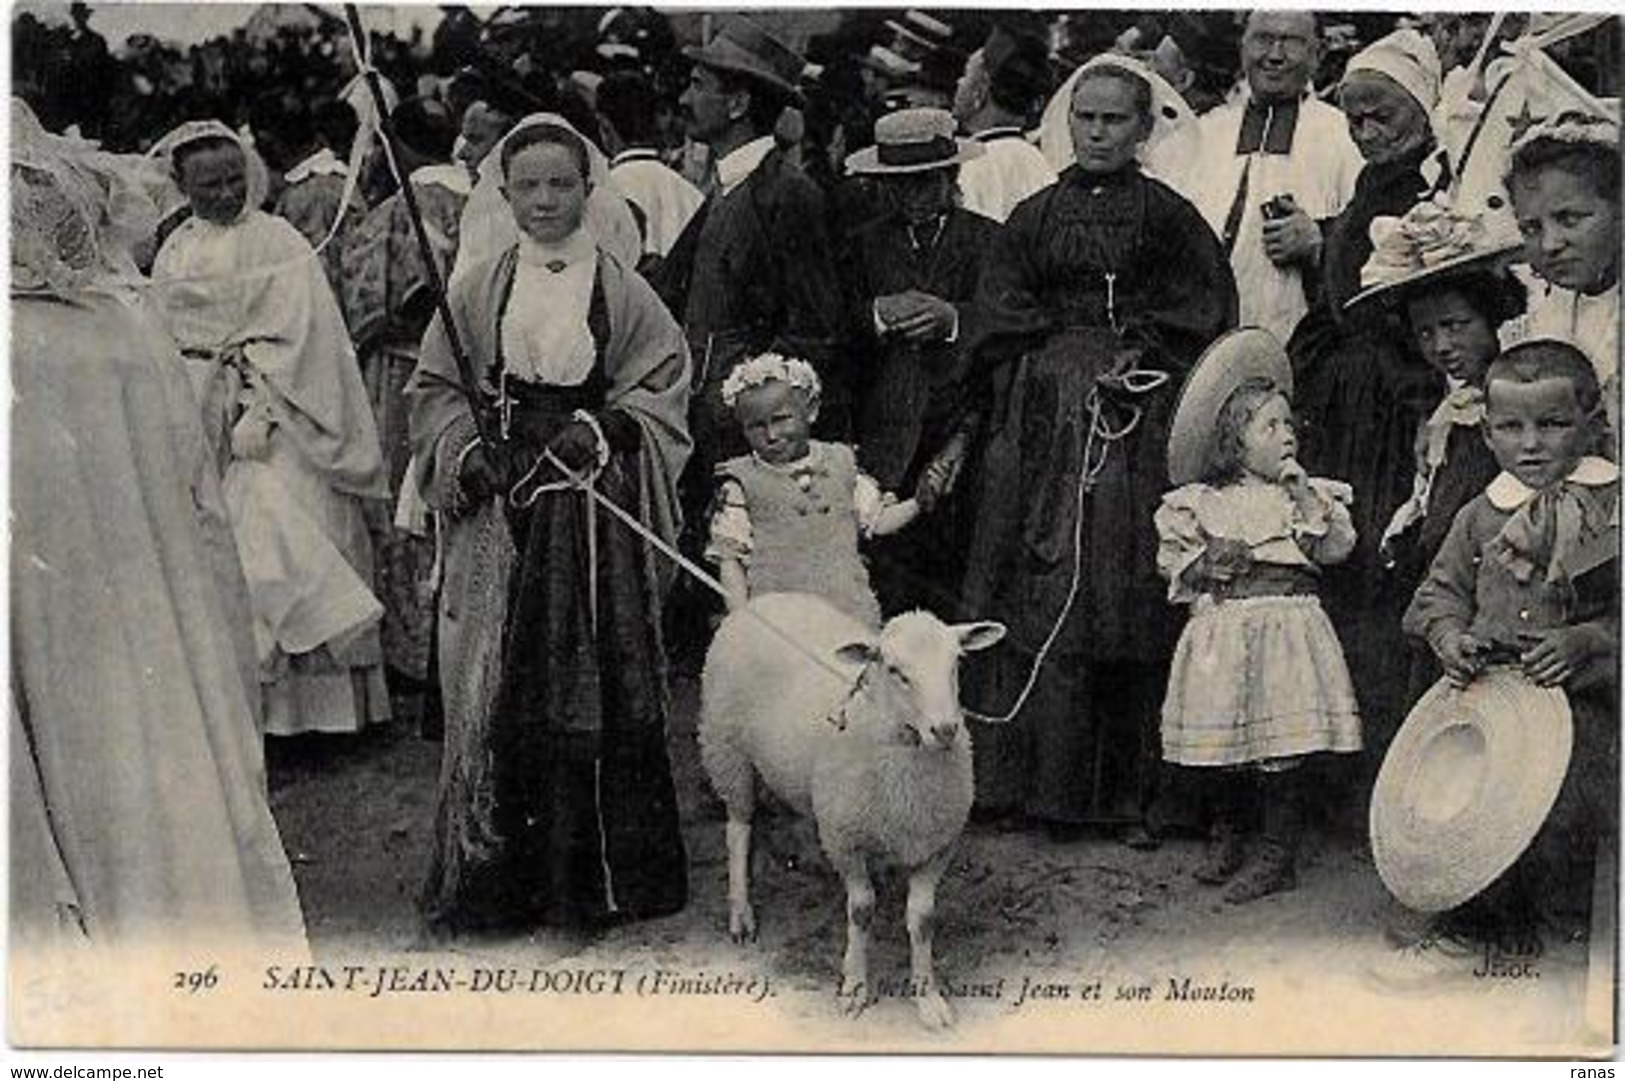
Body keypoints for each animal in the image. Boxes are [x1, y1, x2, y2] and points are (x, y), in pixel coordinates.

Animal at [698, 591, 1001, 1027]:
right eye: (894, 670)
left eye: (956, 663)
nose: (946, 730)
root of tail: (756, 600)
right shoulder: (846, 840)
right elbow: (861, 911)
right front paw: (854, 986)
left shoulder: (937, 844)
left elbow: (922, 919)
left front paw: (928, 998)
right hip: (726, 748)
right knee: (738, 827)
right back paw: (741, 911)